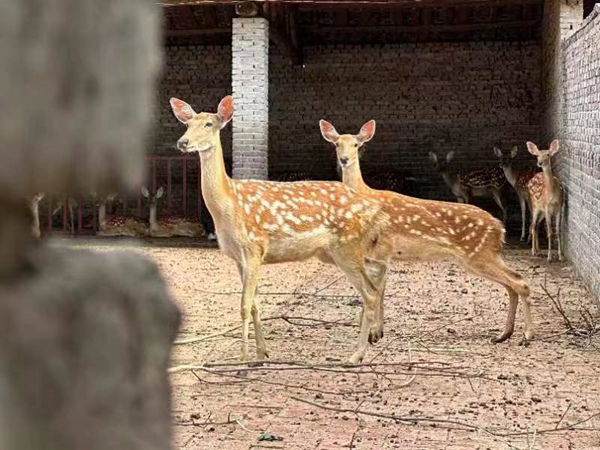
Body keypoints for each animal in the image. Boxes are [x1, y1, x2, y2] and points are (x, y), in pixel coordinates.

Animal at [171, 96, 392, 366]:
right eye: (187, 123)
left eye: (209, 124)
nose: (183, 142)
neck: (228, 205)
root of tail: (370, 204)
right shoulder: (238, 258)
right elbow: (255, 305)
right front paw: (261, 354)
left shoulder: (254, 248)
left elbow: (244, 305)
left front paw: (242, 359)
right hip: (334, 252)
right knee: (379, 272)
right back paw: (373, 335)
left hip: (347, 247)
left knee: (369, 292)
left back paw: (356, 355)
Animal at [322, 119, 532, 344]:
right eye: (336, 144)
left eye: (356, 145)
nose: (344, 160)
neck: (365, 194)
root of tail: (499, 227)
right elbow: (377, 289)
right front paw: (373, 330)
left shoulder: (383, 247)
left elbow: (378, 290)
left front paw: (374, 333)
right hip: (486, 255)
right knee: (513, 283)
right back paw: (503, 334)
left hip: (478, 254)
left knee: (519, 282)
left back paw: (527, 334)